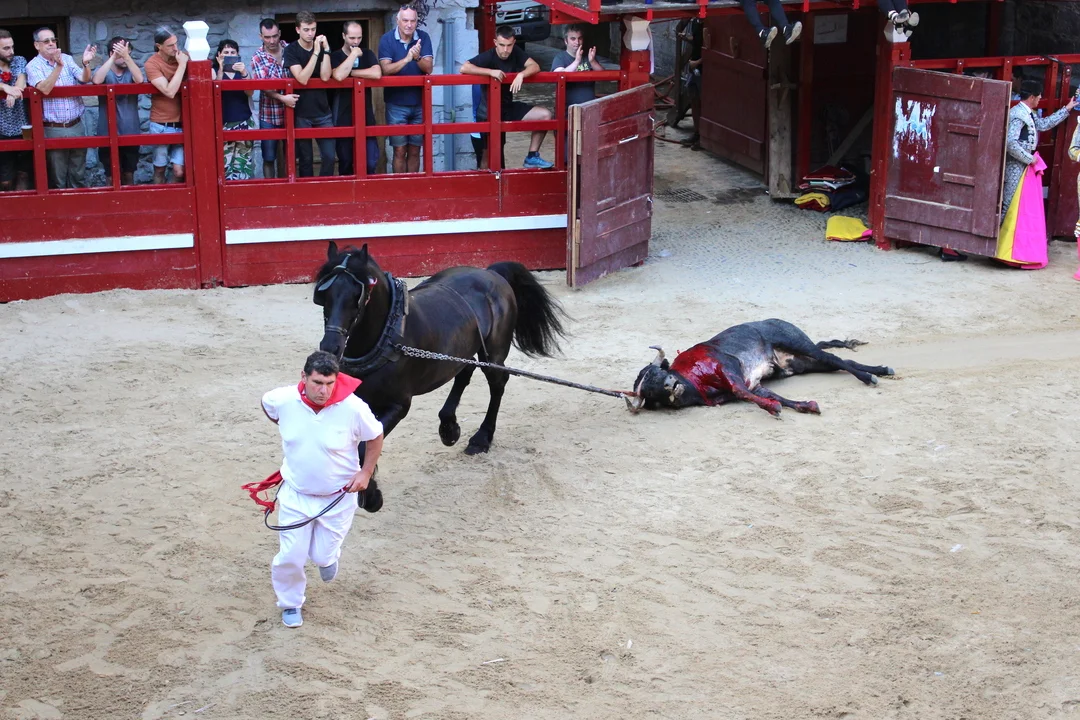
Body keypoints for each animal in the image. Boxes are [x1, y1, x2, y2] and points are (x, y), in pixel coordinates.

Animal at [313, 242, 567, 455]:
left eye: (358, 295)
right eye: (323, 294)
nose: (330, 346)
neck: (387, 338)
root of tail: (491, 273)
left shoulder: (398, 406)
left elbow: (364, 451)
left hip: (493, 353)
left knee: (498, 383)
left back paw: (482, 437)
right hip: (461, 349)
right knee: (464, 371)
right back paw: (448, 426)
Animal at [627, 319, 894, 416]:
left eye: (659, 372)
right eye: (650, 389)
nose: (669, 384)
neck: (694, 383)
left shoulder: (729, 368)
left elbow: (740, 390)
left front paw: (774, 408)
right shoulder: (755, 385)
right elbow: (773, 396)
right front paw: (806, 405)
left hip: (798, 342)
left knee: (834, 358)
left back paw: (869, 377)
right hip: (801, 363)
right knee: (839, 362)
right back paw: (880, 370)